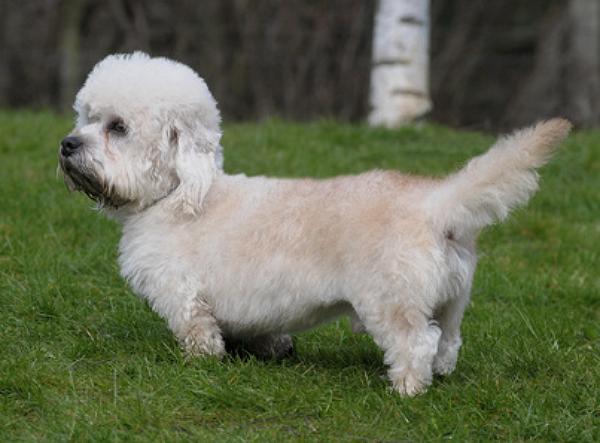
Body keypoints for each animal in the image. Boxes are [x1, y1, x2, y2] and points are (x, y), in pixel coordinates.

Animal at [58, 53, 568, 398]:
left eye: (117, 127)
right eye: (86, 117)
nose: (67, 144)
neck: (179, 193)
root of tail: (434, 203)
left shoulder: (182, 294)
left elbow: (198, 332)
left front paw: (201, 361)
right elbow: (259, 331)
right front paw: (269, 350)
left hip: (391, 304)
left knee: (417, 343)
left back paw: (406, 387)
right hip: (452, 300)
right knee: (448, 341)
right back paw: (437, 375)